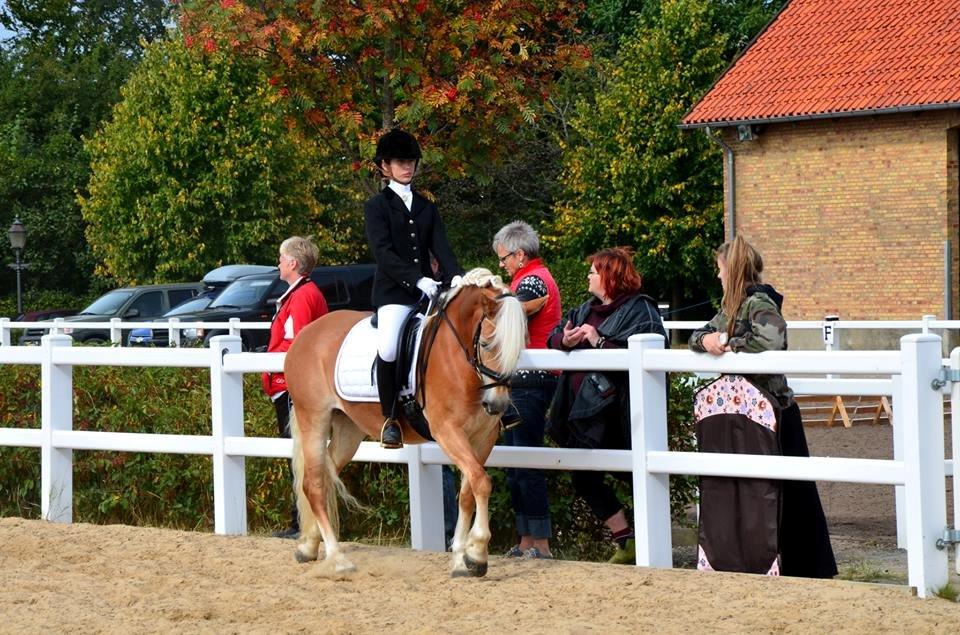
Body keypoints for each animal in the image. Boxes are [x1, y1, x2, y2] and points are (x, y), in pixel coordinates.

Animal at [282, 268, 544, 576]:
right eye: (487, 344)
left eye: (521, 346)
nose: (497, 405)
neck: (458, 357)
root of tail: (306, 334)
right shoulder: (447, 431)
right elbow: (481, 482)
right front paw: (477, 553)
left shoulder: (483, 437)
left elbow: (468, 490)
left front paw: (461, 559)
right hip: (314, 418)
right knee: (313, 484)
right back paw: (338, 559)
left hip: (348, 428)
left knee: (325, 476)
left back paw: (309, 546)